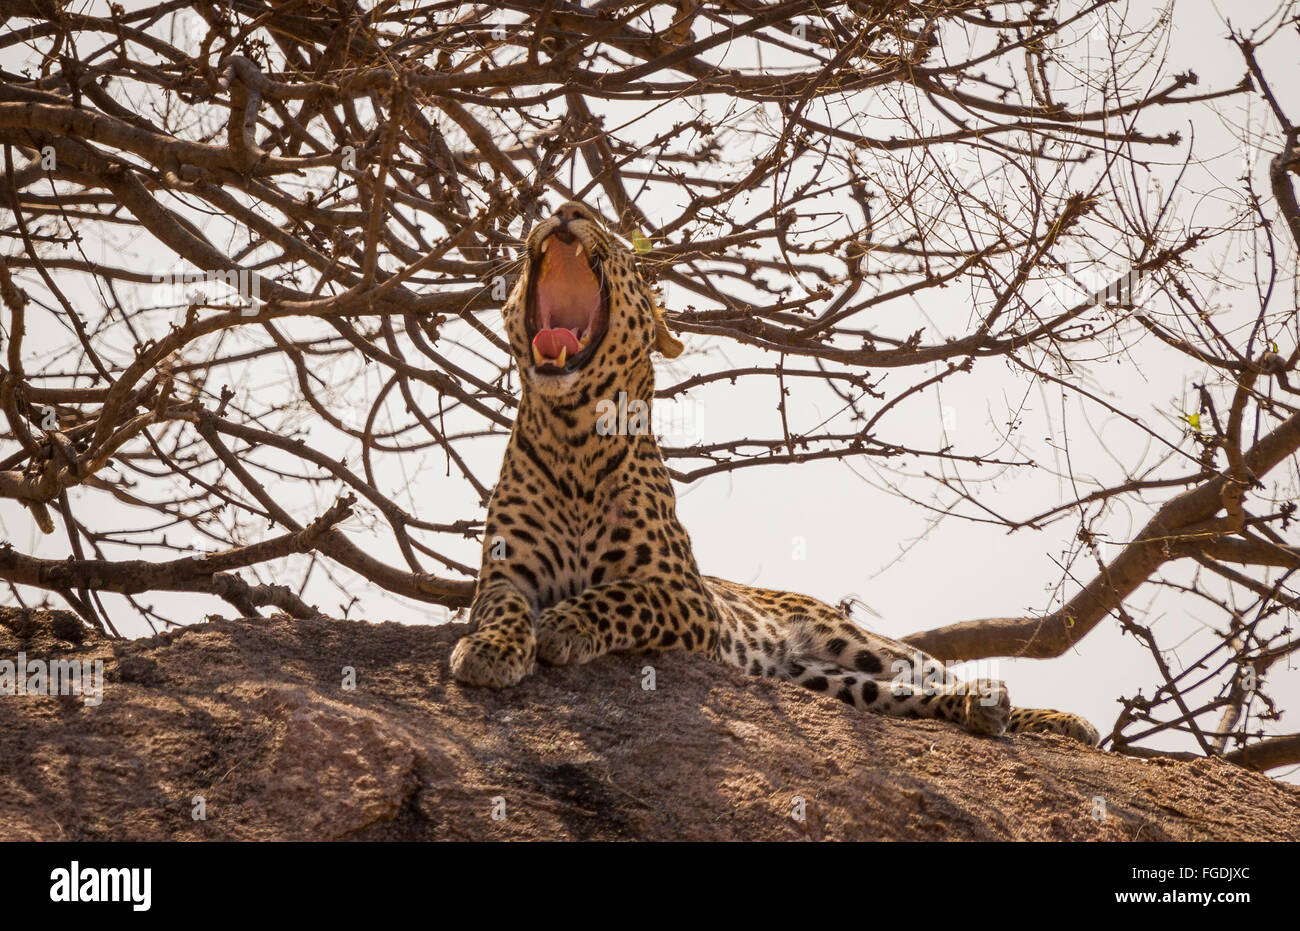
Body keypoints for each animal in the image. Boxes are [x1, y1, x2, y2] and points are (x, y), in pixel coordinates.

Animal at [447, 200, 1097, 743]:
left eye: (622, 248)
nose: (567, 207)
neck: (574, 433)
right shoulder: (505, 576)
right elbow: (504, 609)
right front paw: (489, 651)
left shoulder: (685, 596)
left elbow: (619, 595)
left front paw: (562, 624)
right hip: (819, 680)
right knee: (897, 696)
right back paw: (981, 711)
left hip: (856, 641)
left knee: (933, 671)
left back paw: (1045, 716)